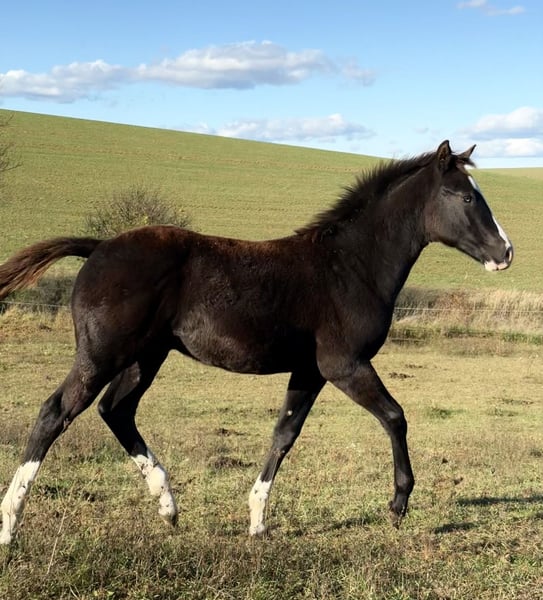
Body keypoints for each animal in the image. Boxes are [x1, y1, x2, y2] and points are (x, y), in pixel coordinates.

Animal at [0, 141, 513, 545]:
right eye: (467, 196)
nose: (505, 253)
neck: (348, 266)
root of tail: (99, 246)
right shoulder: (344, 364)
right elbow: (395, 417)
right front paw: (398, 504)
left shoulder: (309, 370)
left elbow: (284, 434)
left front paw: (257, 520)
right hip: (103, 354)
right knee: (55, 413)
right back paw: (11, 522)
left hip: (146, 356)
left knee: (116, 410)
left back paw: (168, 507)